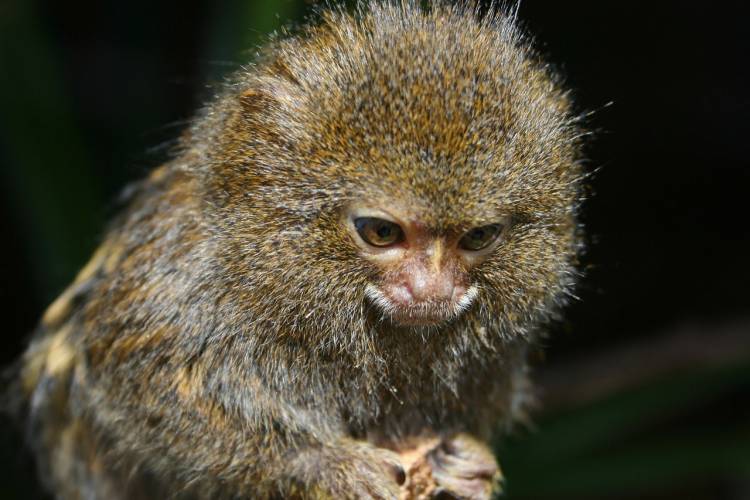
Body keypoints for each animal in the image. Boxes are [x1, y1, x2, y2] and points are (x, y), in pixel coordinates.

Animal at [13, 1, 588, 498]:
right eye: (381, 233)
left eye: (477, 238)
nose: (431, 289)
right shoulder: (180, 282)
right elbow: (134, 378)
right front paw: (321, 464)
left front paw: (468, 464)